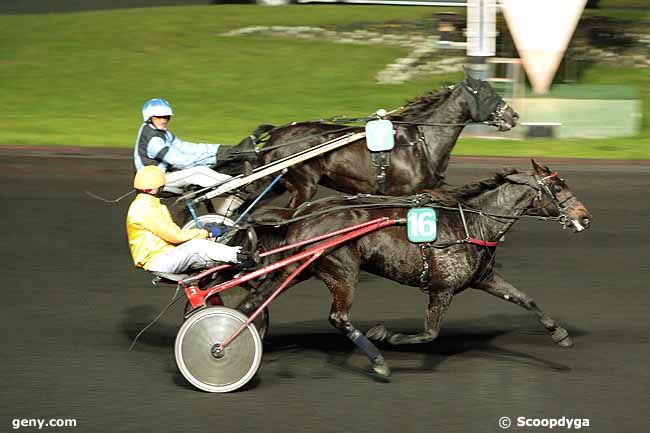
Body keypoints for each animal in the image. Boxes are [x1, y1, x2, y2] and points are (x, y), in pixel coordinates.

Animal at [246, 161, 588, 378]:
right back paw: (379, 361)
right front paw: (388, 335)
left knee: (257, 298)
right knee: (338, 317)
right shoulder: (442, 289)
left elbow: (524, 298)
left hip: (301, 267)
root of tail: (300, 213)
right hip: (342, 271)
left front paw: (560, 334)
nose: (584, 215)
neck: (471, 223)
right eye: (558, 188)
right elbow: (429, 334)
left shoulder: (484, 278)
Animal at [253, 74, 516, 208]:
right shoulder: (400, 194)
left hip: (278, 184)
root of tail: (276, 134)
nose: (513, 116)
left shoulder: (431, 188)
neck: (422, 142)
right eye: (489, 94)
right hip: (304, 185)